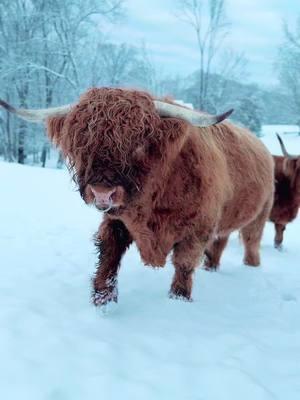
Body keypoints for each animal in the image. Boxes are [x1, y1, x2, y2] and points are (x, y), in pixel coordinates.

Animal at [0, 88, 274, 306]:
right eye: (81, 144)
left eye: (139, 145)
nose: (102, 191)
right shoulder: (118, 220)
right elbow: (108, 253)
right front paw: (102, 299)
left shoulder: (197, 231)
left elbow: (184, 265)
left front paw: (179, 301)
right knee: (220, 243)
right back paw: (212, 268)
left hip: (259, 215)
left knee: (251, 241)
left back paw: (251, 267)